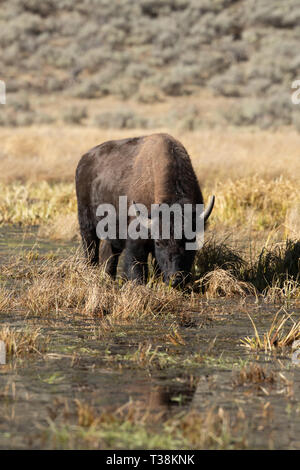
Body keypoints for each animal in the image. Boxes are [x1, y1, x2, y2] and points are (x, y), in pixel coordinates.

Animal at [76, 131, 214, 286]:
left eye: (190, 240)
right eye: (159, 243)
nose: (175, 279)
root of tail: (84, 160)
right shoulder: (137, 241)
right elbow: (138, 269)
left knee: (110, 255)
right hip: (87, 224)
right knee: (90, 250)